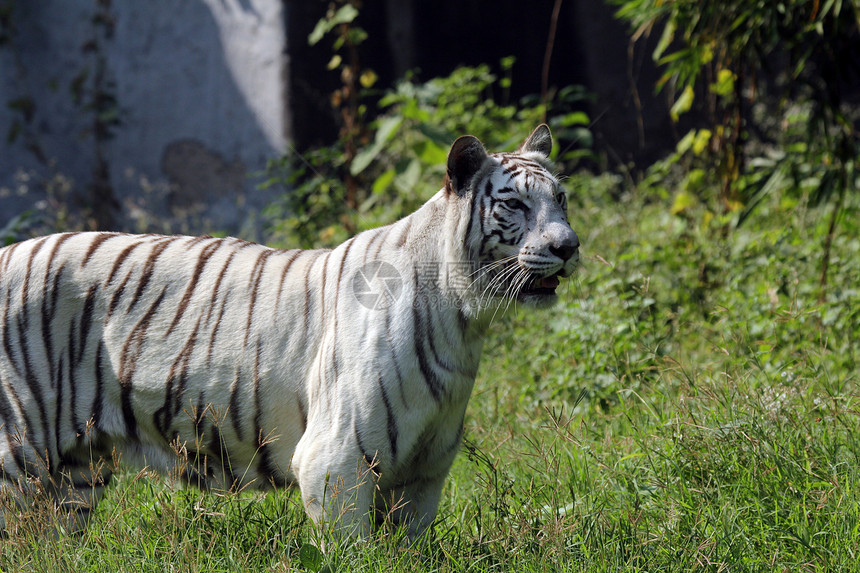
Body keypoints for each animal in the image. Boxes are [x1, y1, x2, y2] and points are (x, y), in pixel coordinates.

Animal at [0, 124, 580, 536]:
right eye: (515, 204)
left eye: (561, 200)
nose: (568, 246)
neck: (464, 319)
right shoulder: (336, 459)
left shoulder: (422, 475)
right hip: (18, 456)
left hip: (75, 475)